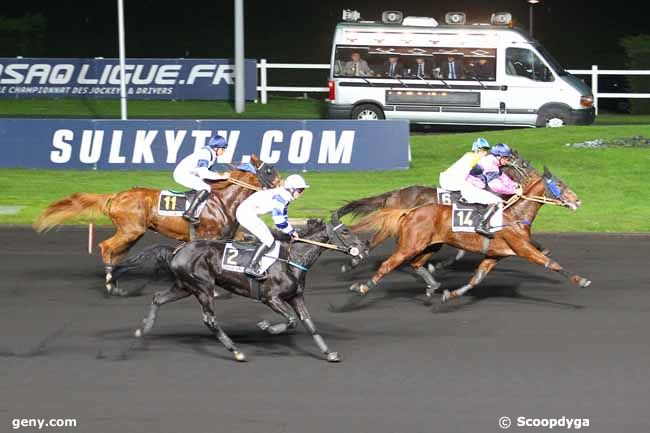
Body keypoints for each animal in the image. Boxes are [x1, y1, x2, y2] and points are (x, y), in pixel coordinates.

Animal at [34, 154, 278, 294]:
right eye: (269, 171)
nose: (282, 186)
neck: (223, 201)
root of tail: (116, 196)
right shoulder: (207, 237)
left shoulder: (227, 236)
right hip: (131, 230)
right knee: (106, 247)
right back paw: (110, 280)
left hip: (132, 233)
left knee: (115, 252)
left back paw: (116, 278)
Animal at [344, 155, 588, 304]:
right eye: (560, 184)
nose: (577, 201)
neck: (515, 215)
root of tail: (409, 210)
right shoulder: (522, 248)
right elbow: (551, 263)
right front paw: (581, 280)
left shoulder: (494, 255)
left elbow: (475, 279)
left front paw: (451, 293)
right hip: (409, 245)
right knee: (386, 260)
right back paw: (361, 281)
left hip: (429, 245)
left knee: (416, 263)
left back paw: (433, 285)